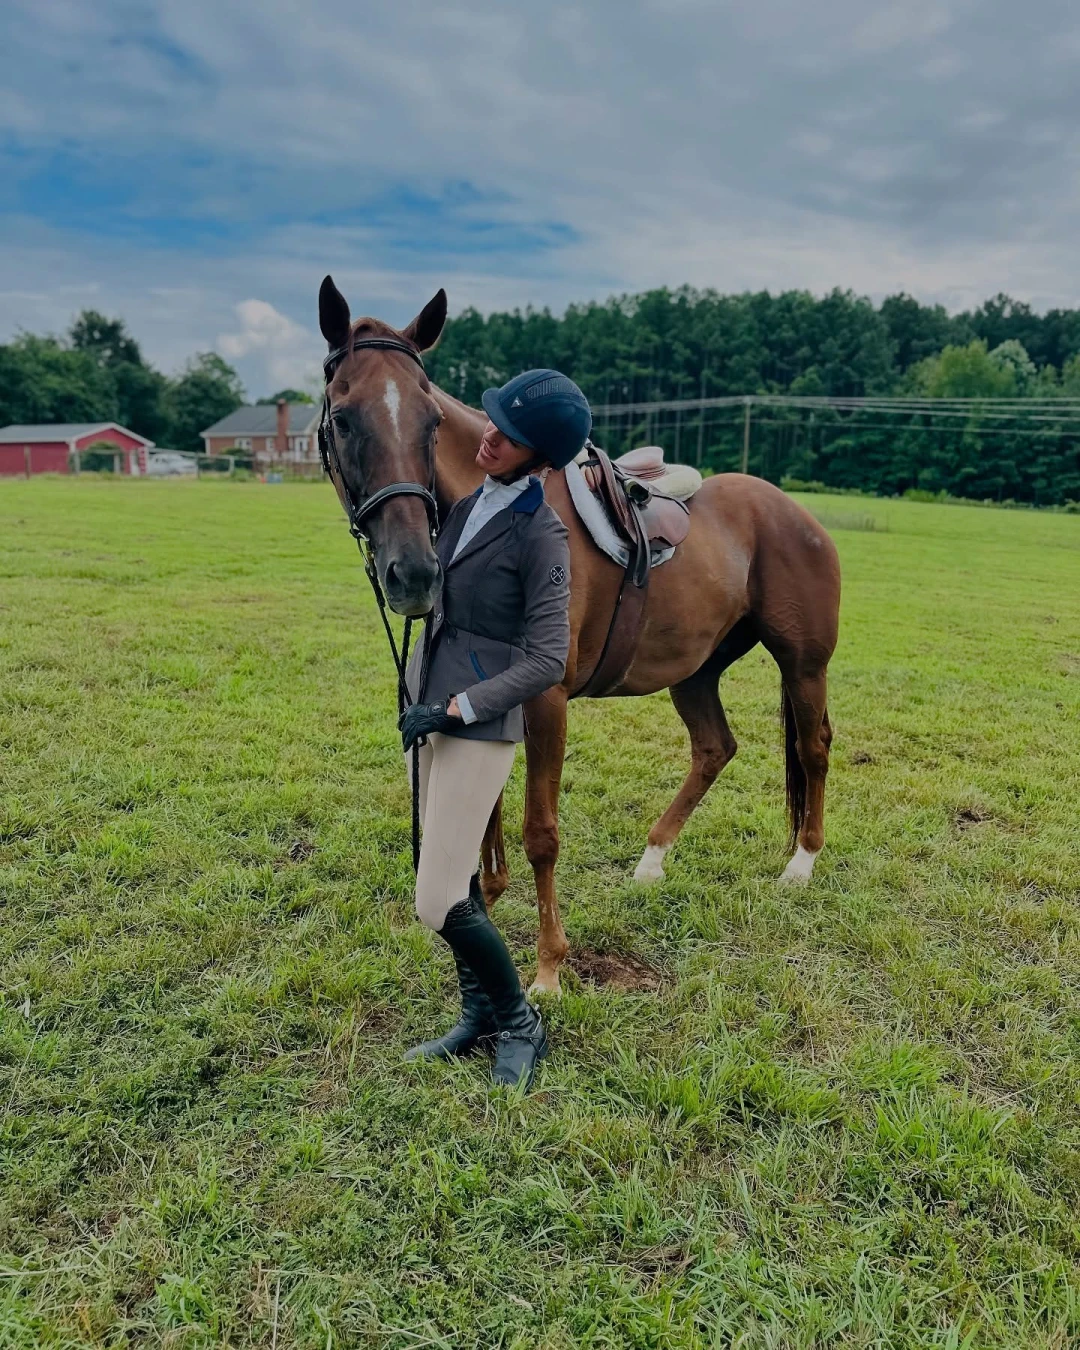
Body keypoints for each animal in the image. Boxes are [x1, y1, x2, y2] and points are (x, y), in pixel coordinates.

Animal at [317, 276, 841, 994]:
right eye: (344, 417)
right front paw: (486, 897)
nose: (415, 572)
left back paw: (801, 864)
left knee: (813, 747)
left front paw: (548, 967)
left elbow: (541, 831)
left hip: (802, 665)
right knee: (714, 748)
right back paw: (653, 858)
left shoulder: (546, 700)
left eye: (430, 421)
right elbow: (484, 810)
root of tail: (795, 513)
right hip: (695, 669)